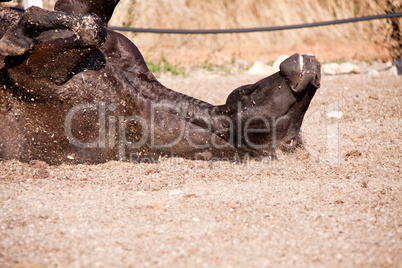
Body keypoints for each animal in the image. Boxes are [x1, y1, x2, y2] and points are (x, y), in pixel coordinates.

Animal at [0, 0, 320, 164]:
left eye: (290, 140)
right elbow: (89, 17)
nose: (314, 71)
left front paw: (15, 37)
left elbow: (91, 28)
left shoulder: (36, 76)